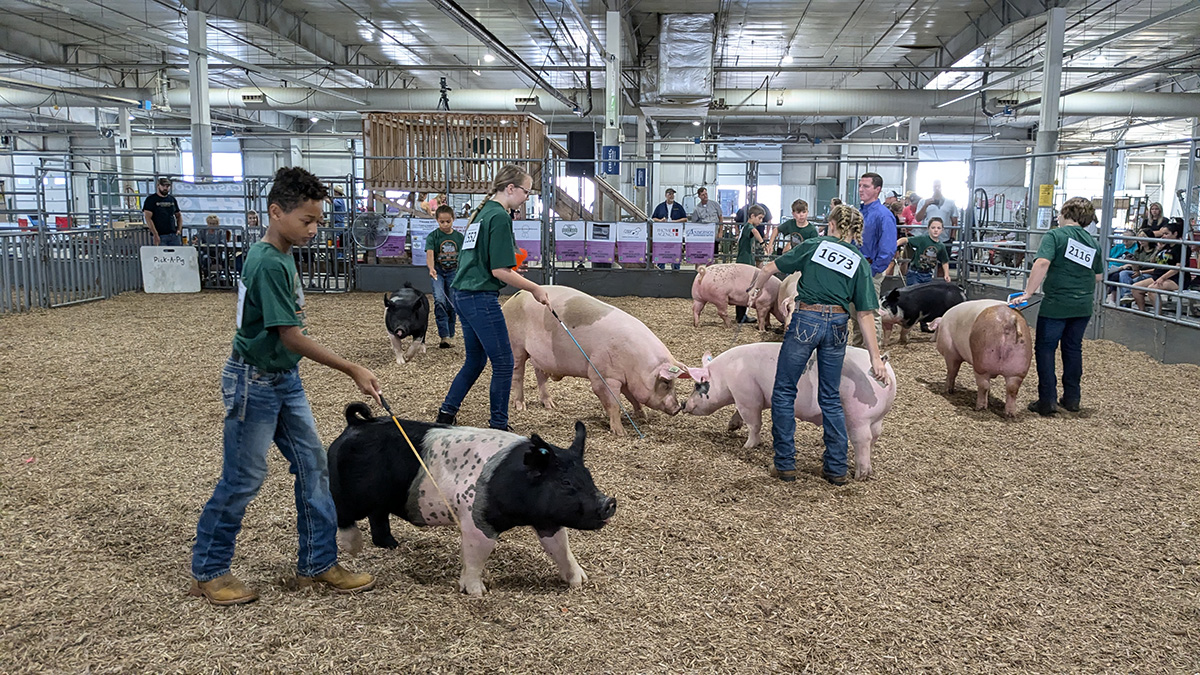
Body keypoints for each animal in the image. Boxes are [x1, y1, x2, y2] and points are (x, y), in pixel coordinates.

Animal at [326, 401, 614, 590]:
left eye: (588, 476)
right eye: (565, 482)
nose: (609, 502)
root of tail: (355, 424)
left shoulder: (547, 520)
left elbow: (560, 547)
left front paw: (580, 581)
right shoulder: (477, 519)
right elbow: (477, 555)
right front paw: (477, 593)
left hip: (379, 500)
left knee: (378, 516)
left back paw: (391, 544)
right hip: (347, 491)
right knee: (340, 512)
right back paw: (354, 548)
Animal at [506, 284, 696, 437]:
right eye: (665, 383)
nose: (678, 407)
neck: (637, 363)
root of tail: (511, 299)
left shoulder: (625, 378)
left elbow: (631, 397)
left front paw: (643, 417)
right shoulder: (603, 375)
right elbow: (614, 403)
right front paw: (621, 433)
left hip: (539, 358)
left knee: (540, 376)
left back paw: (551, 405)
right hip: (516, 346)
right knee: (518, 374)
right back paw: (521, 405)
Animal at [681, 341, 897, 478]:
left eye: (698, 385)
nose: (684, 405)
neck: (725, 375)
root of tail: (884, 368)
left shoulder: (748, 396)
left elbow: (754, 423)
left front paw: (747, 446)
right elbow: (738, 413)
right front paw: (731, 427)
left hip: (859, 416)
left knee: (863, 439)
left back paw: (861, 475)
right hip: (876, 418)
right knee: (874, 437)